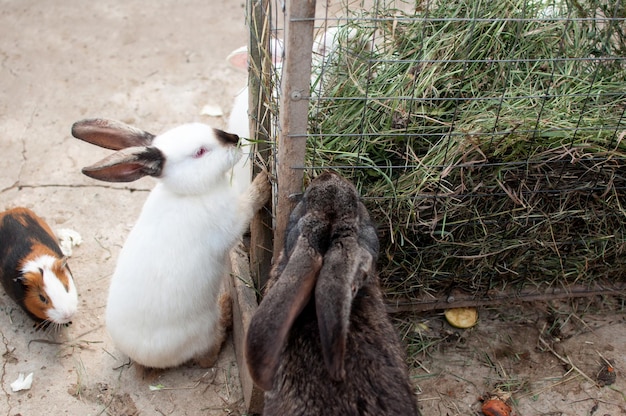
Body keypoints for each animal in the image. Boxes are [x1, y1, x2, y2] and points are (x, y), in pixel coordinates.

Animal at [72, 117, 270, 368]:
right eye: (200, 152)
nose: (235, 140)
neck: (190, 193)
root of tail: (141, 357)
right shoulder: (234, 218)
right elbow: (251, 202)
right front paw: (264, 180)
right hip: (204, 329)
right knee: (208, 356)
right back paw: (225, 307)